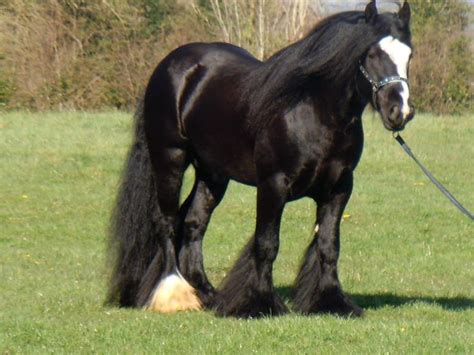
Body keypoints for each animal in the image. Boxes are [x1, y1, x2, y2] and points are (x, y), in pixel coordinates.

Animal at [107, 0, 414, 318]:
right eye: (372, 54)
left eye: (409, 55)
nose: (400, 112)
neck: (313, 111)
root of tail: (171, 65)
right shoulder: (273, 184)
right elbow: (267, 244)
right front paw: (259, 303)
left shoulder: (339, 188)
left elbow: (329, 245)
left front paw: (331, 301)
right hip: (170, 158)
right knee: (166, 222)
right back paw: (172, 294)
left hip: (212, 174)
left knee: (193, 223)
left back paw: (206, 295)